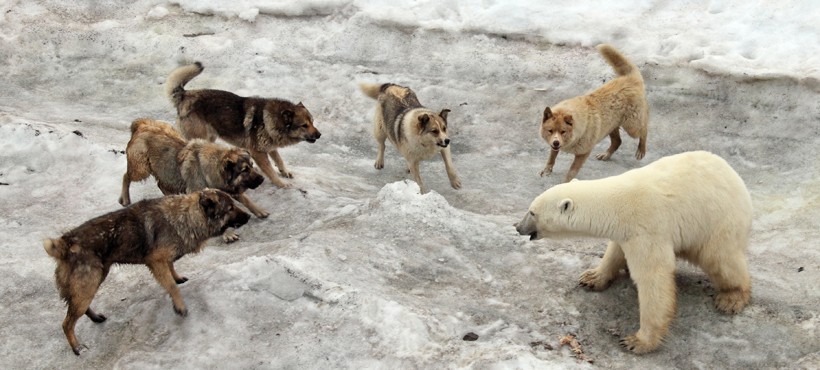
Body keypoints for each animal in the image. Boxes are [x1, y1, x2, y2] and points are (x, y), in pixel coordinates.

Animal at [44, 189, 250, 354]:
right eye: (230, 208)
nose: (248, 216)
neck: (186, 216)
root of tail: (64, 244)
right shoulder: (156, 261)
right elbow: (172, 287)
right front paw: (180, 306)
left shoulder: (165, 260)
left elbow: (172, 272)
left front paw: (177, 278)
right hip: (88, 285)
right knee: (67, 323)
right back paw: (77, 347)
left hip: (93, 281)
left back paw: (95, 318)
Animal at [120, 117, 266, 241]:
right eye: (244, 170)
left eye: (252, 165)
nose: (262, 179)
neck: (210, 168)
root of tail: (141, 125)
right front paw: (228, 234)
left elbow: (245, 199)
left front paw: (259, 210)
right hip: (141, 169)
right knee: (126, 176)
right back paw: (125, 198)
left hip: (166, 170)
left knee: (161, 185)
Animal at [166, 62, 320, 188]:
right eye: (304, 125)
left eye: (312, 122)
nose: (319, 135)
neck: (270, 121)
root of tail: (185, 95)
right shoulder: (258, 153)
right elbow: (270, 171)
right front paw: (281, 184)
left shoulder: (270, 148)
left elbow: (279, 160)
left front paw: (285, 172)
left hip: (210, 137)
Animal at [516, 150, 752, 352]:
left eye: (532, 212)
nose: (518, 227)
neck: (617, 203)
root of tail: (734, 175)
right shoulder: (627, 231)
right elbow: (615, 252)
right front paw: (592, 277)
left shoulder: (647, 227)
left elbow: (653, 278)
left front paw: (638, 341)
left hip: (718, 220)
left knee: (720, 259)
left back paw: (731, 298)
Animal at [540, 44, 652, 183]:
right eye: (550, 130)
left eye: (563, 131)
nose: (556, 142)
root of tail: (630, 78)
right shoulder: (555, 146)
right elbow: (551, 157)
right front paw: (546, 170)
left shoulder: (583, 152)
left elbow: (571, 172)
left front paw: (565, 184)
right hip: (610, 125)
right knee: (617, 141)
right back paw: (606, 155)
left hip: (632, 126)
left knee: (644, 129)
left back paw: (641, 150)